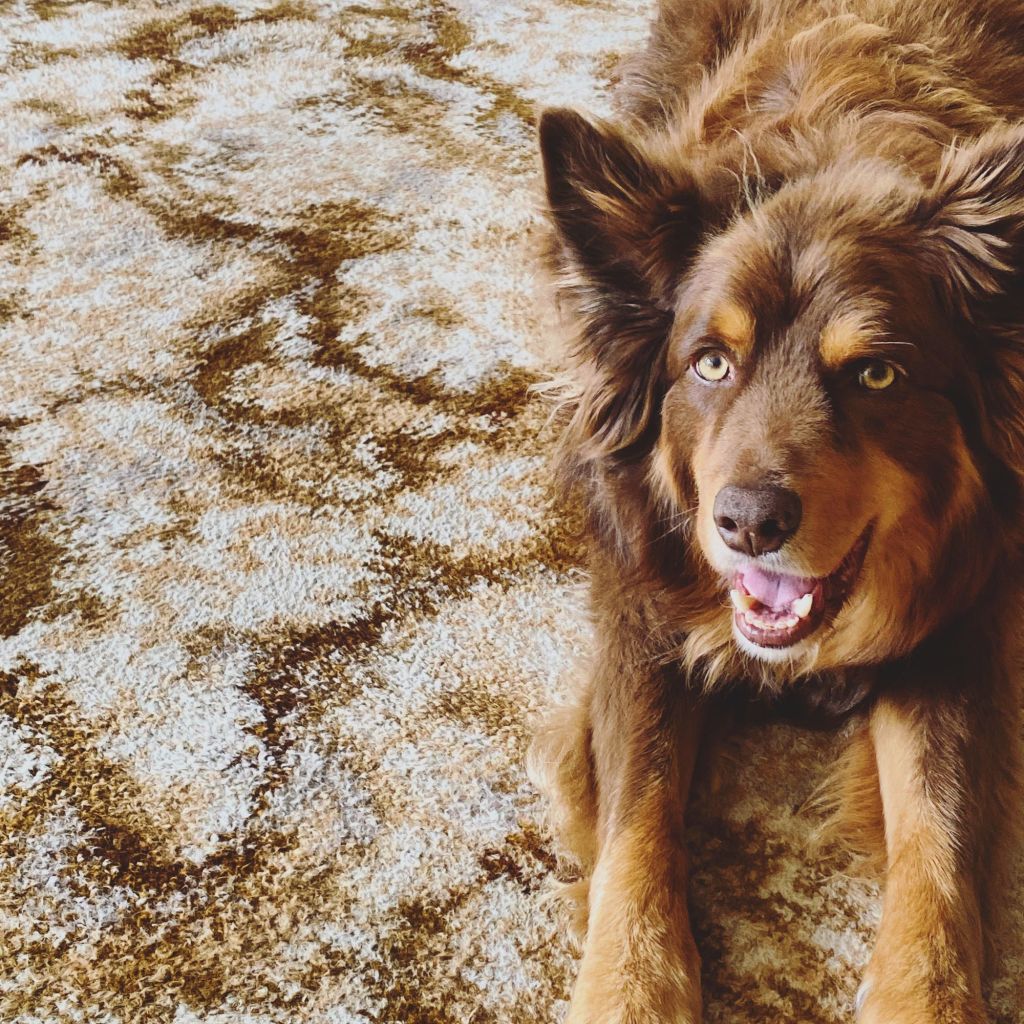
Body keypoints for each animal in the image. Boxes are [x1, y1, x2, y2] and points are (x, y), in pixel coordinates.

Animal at [532, 2, 1024, 1024]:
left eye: (876, 375)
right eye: (710, 363)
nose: (749, 524)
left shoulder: (961, 624)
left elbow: (941, 836)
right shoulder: (640, 609)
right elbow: (638, 815)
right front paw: (631, 987)